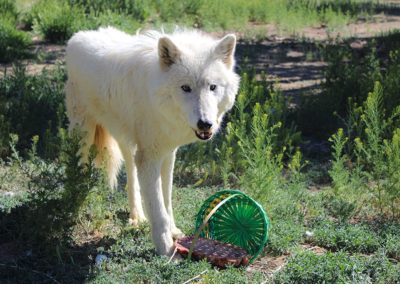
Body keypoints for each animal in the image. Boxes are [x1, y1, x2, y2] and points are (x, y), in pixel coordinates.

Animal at [65, 27, 239, 255]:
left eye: (212, 87)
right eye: (185, 88)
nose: (205, 124)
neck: (155, 98)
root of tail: (78, 36)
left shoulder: (167, 152)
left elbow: (166, 200)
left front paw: (173, 232)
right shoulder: (150, 157)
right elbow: (157, 208)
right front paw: (166, 249)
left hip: (126, 141)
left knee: (130, 174)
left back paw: (137, 216)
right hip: (84, 136)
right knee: (79, 170)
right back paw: (74, 206)